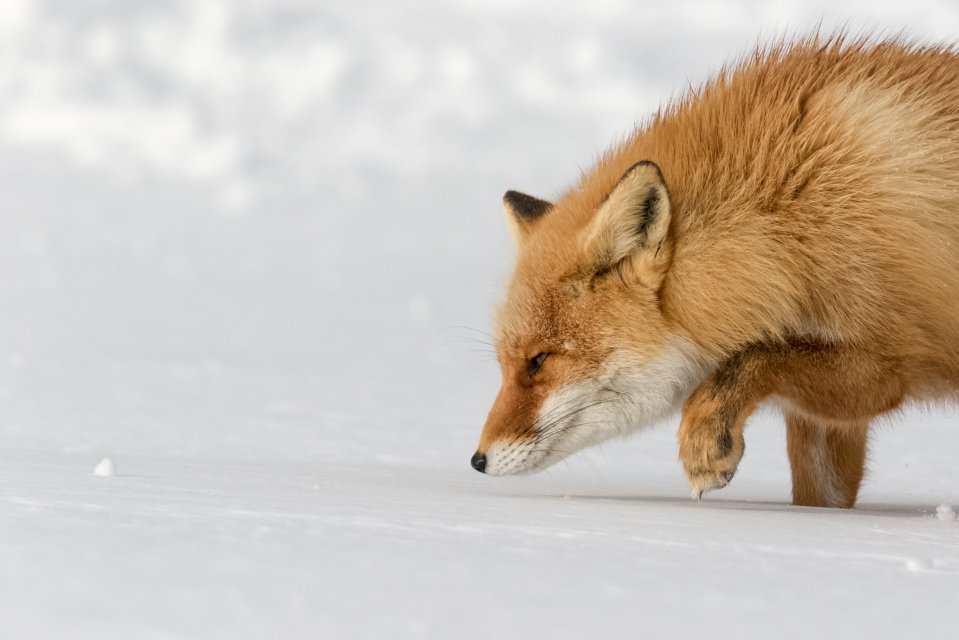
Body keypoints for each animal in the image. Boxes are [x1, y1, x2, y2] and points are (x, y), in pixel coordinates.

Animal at [470, 36, 959, 510]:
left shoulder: (891, 357)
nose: (477, 460)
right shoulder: (823, 416)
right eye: (505, 364)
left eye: (539, 360)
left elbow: (754, 355)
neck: (788, 214)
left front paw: (703, 443)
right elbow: (820, 495)